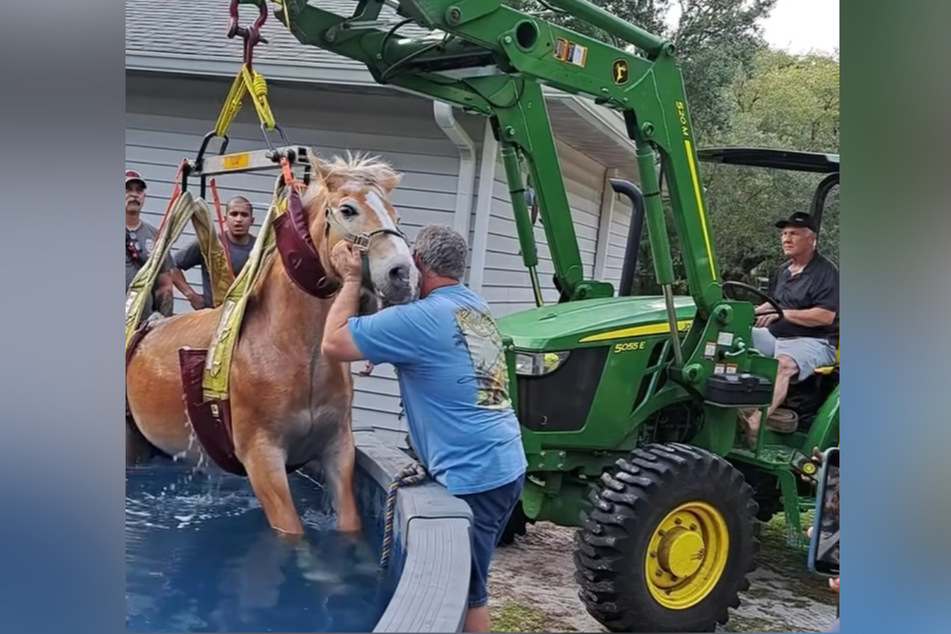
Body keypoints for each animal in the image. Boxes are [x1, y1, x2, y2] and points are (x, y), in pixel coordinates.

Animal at [124, 149, 418, 540]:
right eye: (348, 210)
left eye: (396, 215)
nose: (403, 274)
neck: (296, 353)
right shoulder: (263, 459)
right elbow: (292, 532)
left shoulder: (338, 448)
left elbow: (350, 523)